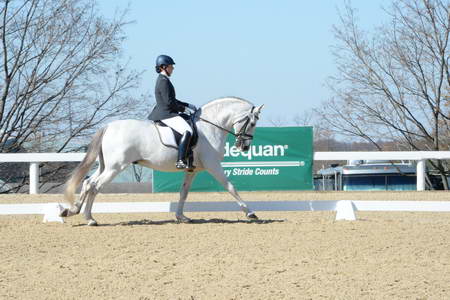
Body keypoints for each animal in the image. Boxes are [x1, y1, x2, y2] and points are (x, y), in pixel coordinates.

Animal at [60, 96, 264, 225]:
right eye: (253, 123)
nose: (244, 147)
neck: (209, 127)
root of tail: (108, 126)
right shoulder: (213, 165)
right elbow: (230, 186)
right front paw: (250, 213)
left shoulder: (192, 170)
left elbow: (184, 193)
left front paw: (181, 217)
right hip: (115, 167)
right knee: (94, 186)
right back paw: (89, 219)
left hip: (105, 166)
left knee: (87, 183)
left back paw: (71, 211)